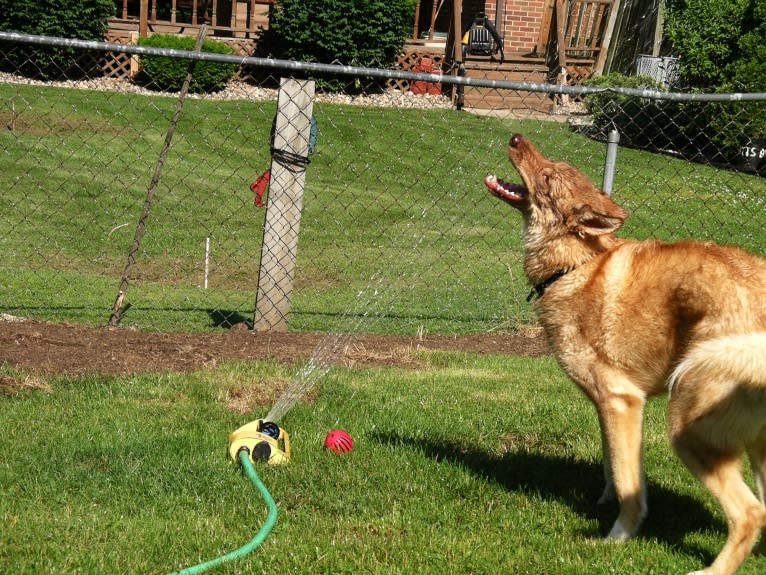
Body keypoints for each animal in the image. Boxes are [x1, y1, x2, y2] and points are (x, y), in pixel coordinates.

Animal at [486, 133, 766, 572]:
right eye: (553, 164)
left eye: (548, 177)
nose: (516, 138)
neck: (577, 266)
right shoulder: (607, 408)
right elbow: (610, 465)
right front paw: (603, 501)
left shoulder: (622, 401)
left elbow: (628, 484)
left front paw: (617, 537)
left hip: (686, 428)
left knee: (751, 513)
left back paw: (711, 569)